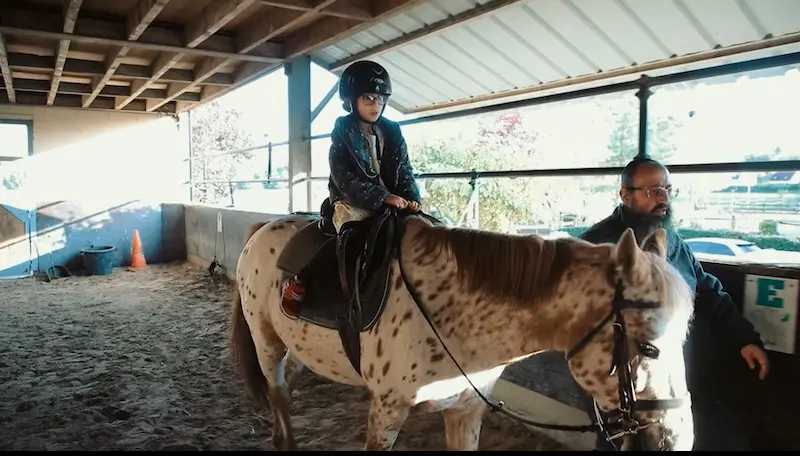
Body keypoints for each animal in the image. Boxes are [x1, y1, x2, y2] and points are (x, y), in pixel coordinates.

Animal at [228, 211, 696, 452]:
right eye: (649, 348)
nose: (679, 437)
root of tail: (263, 228)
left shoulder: (467, 410)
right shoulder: (386, 411)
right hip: (266, 341)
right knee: (278, 391)